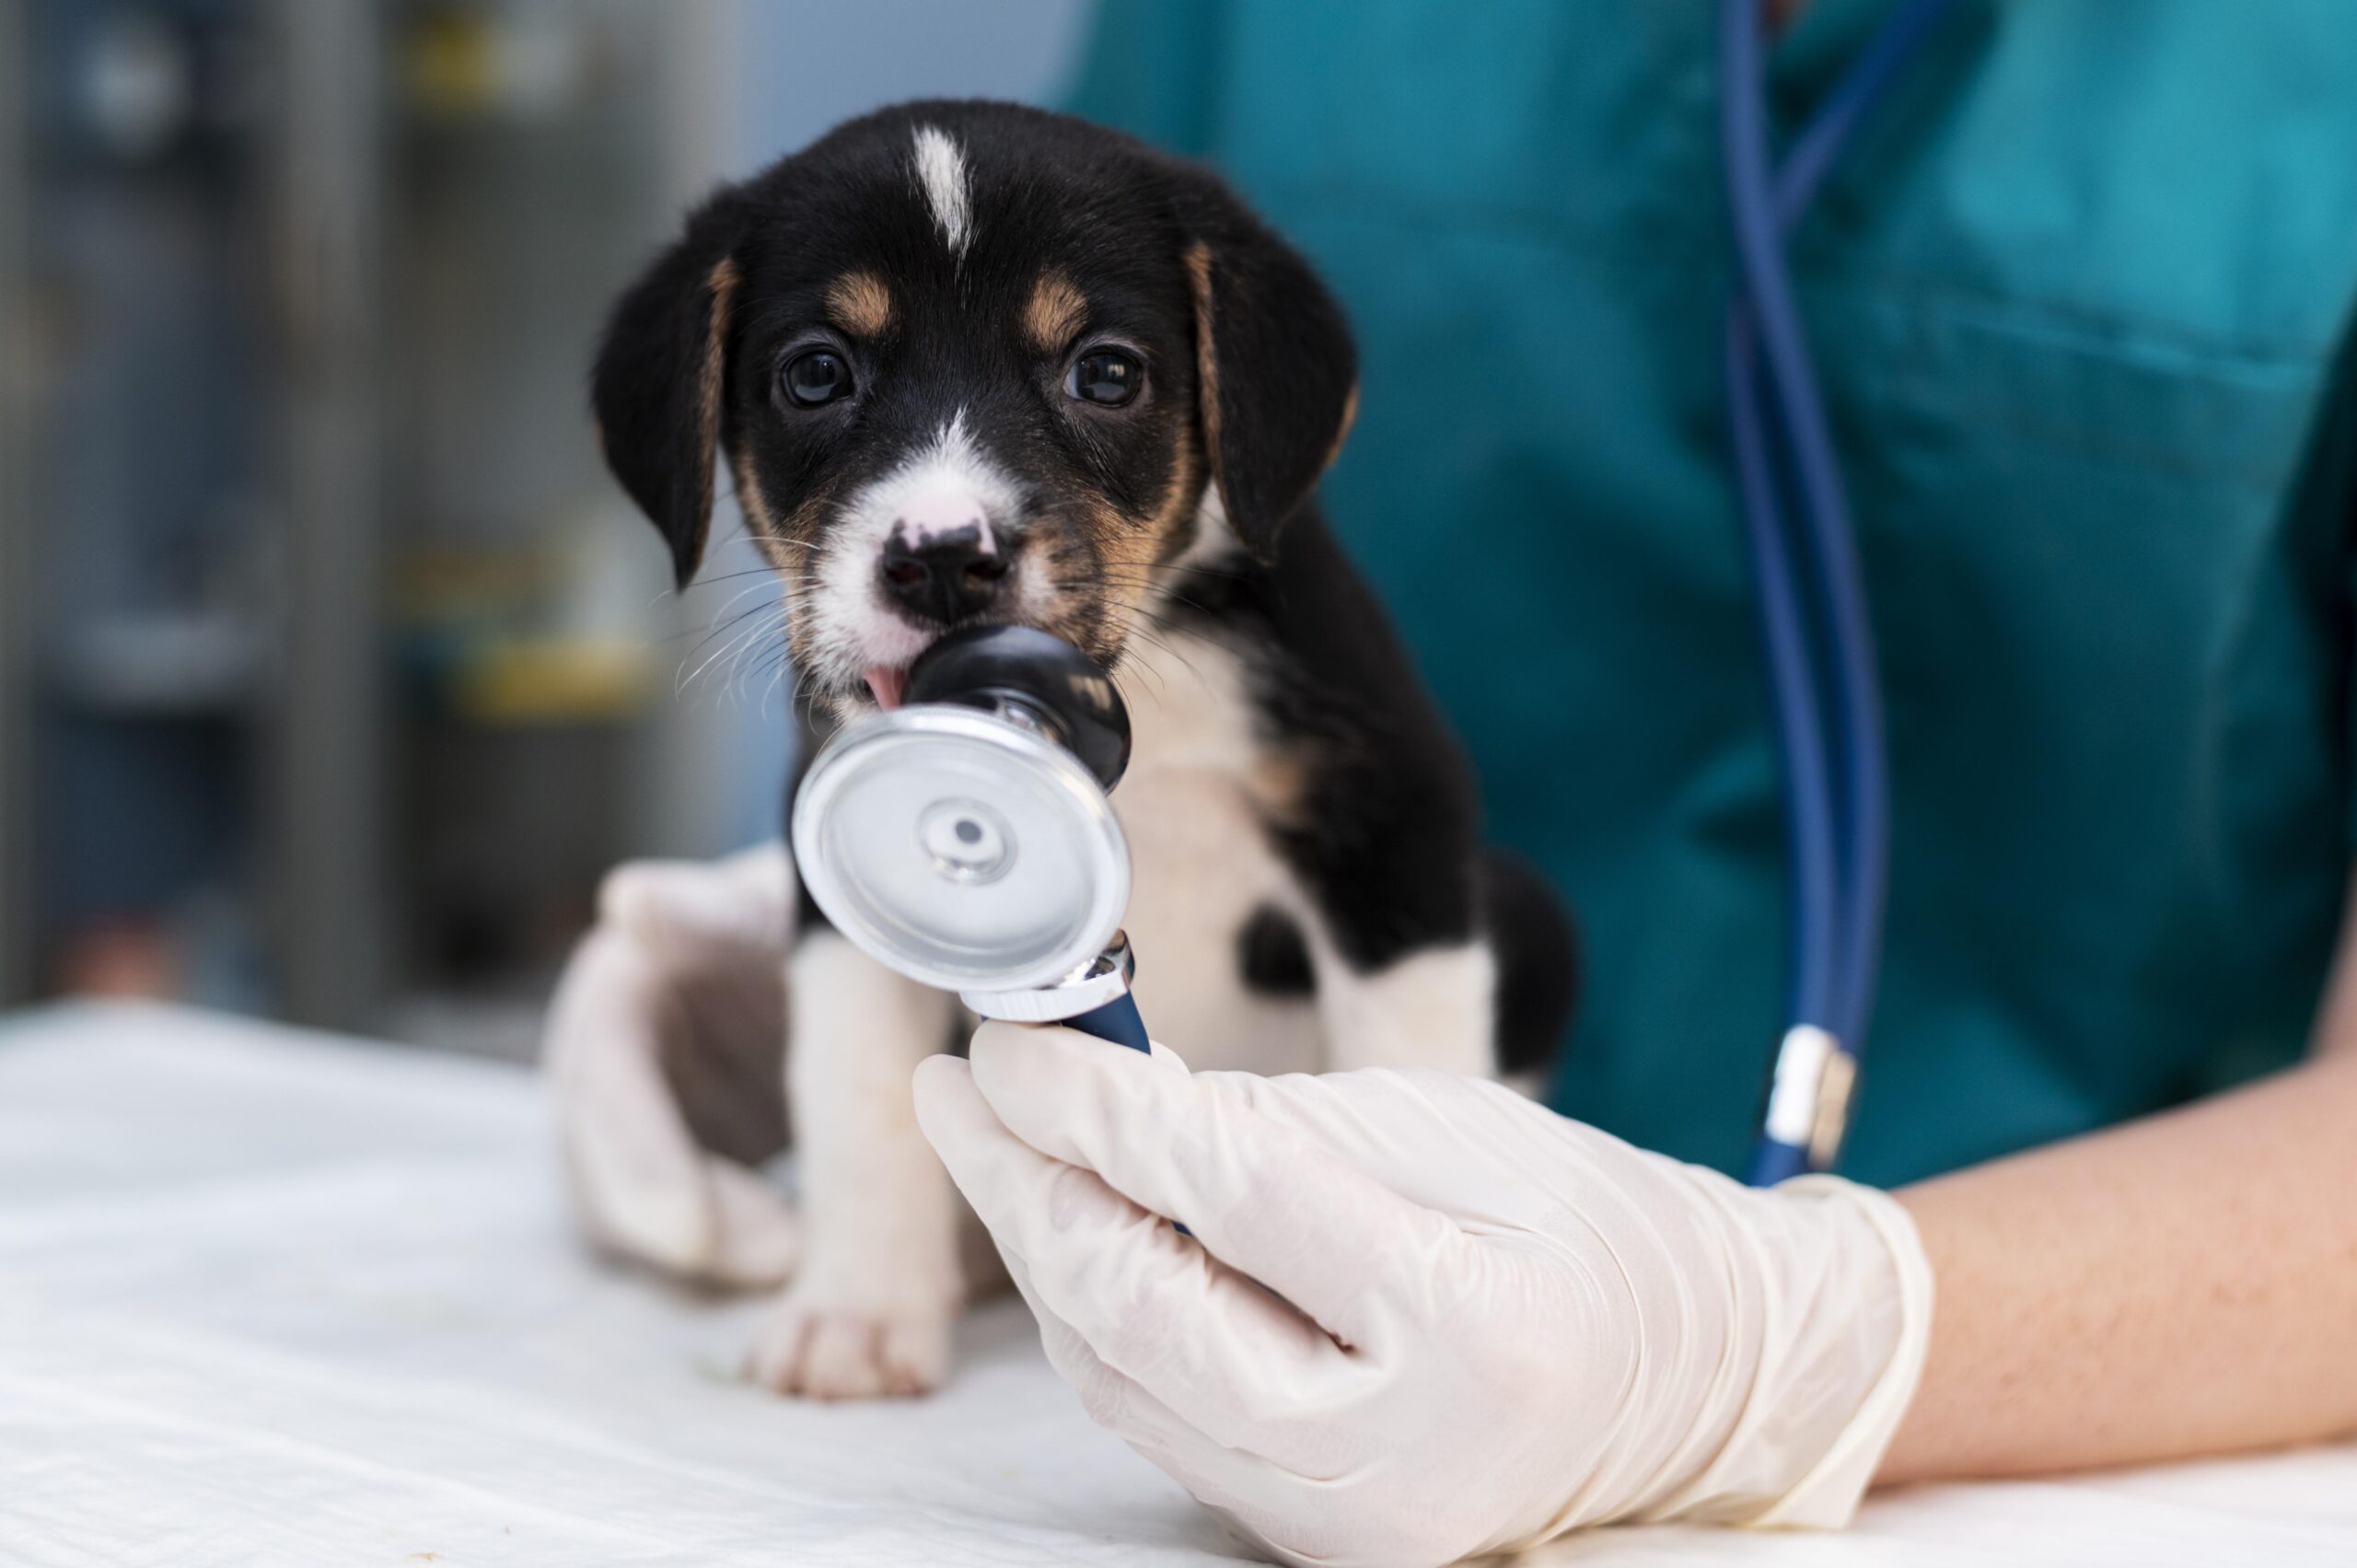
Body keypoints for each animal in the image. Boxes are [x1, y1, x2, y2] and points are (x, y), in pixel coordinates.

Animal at [598, 98, 1574, 1396]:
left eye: (1104, 371)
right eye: (815, 373)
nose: (943, 558)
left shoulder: (1389, 826)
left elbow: (1411, 1075)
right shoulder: (836, 879)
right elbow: (860, 1102)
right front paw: (857, 1309)